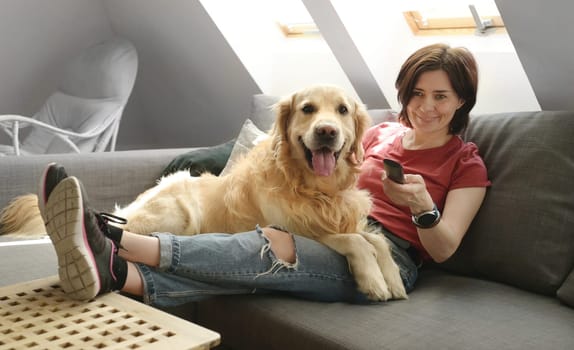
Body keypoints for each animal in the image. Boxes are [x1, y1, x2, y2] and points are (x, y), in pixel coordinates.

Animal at [3, 85, 410, 300]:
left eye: (342, 110)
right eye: (308, 109)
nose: (326, 132)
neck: (315, 189)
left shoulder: (351, 219)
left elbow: (377, 240)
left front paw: (391, 277)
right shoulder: (297, 229)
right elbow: (354, 241)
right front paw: (374, 280)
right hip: (179, 211)